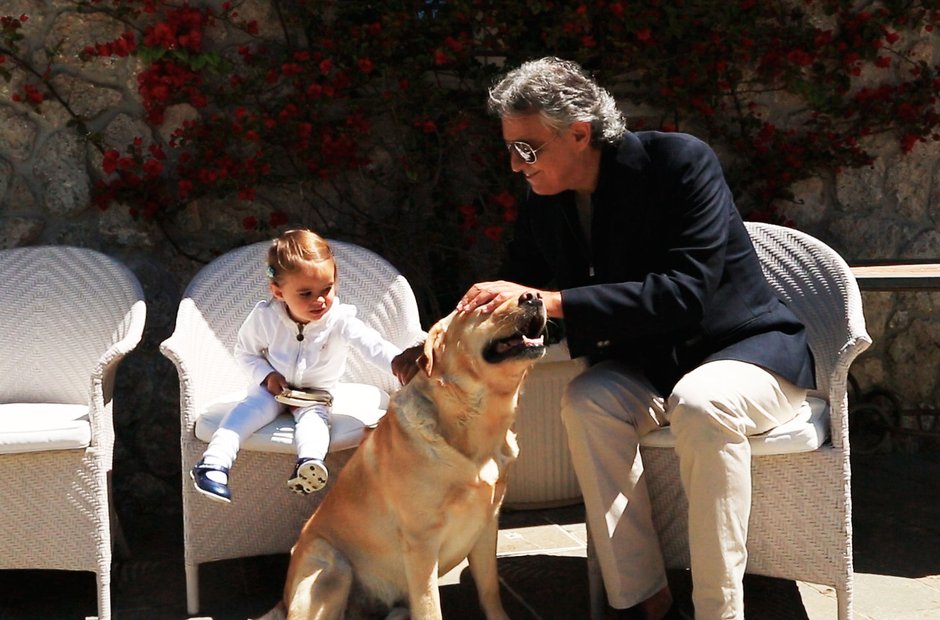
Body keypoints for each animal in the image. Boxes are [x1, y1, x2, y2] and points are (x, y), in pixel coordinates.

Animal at [262, 292, 544, 620]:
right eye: (483, 305)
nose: (534, 296)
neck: (472, 425)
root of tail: (283, 599)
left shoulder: (487, 526)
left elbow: (490, 590)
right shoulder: (421, 544)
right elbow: (431, 608)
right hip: (332, 567)